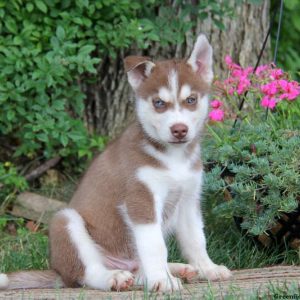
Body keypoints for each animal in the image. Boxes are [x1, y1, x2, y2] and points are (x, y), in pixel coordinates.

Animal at [0, 34, 232, 292]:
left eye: (191, 100)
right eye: (159, 103)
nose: (179, 130)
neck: (174, 157)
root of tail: (57, 272)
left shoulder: (189, 199)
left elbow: (196, 239)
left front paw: (207, 268)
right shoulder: (141, 200)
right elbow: (155, 246)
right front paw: (162, 280)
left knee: (138, 270)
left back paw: (178, 269)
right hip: (66, 221)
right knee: (87, 273)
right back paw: (116, 277)